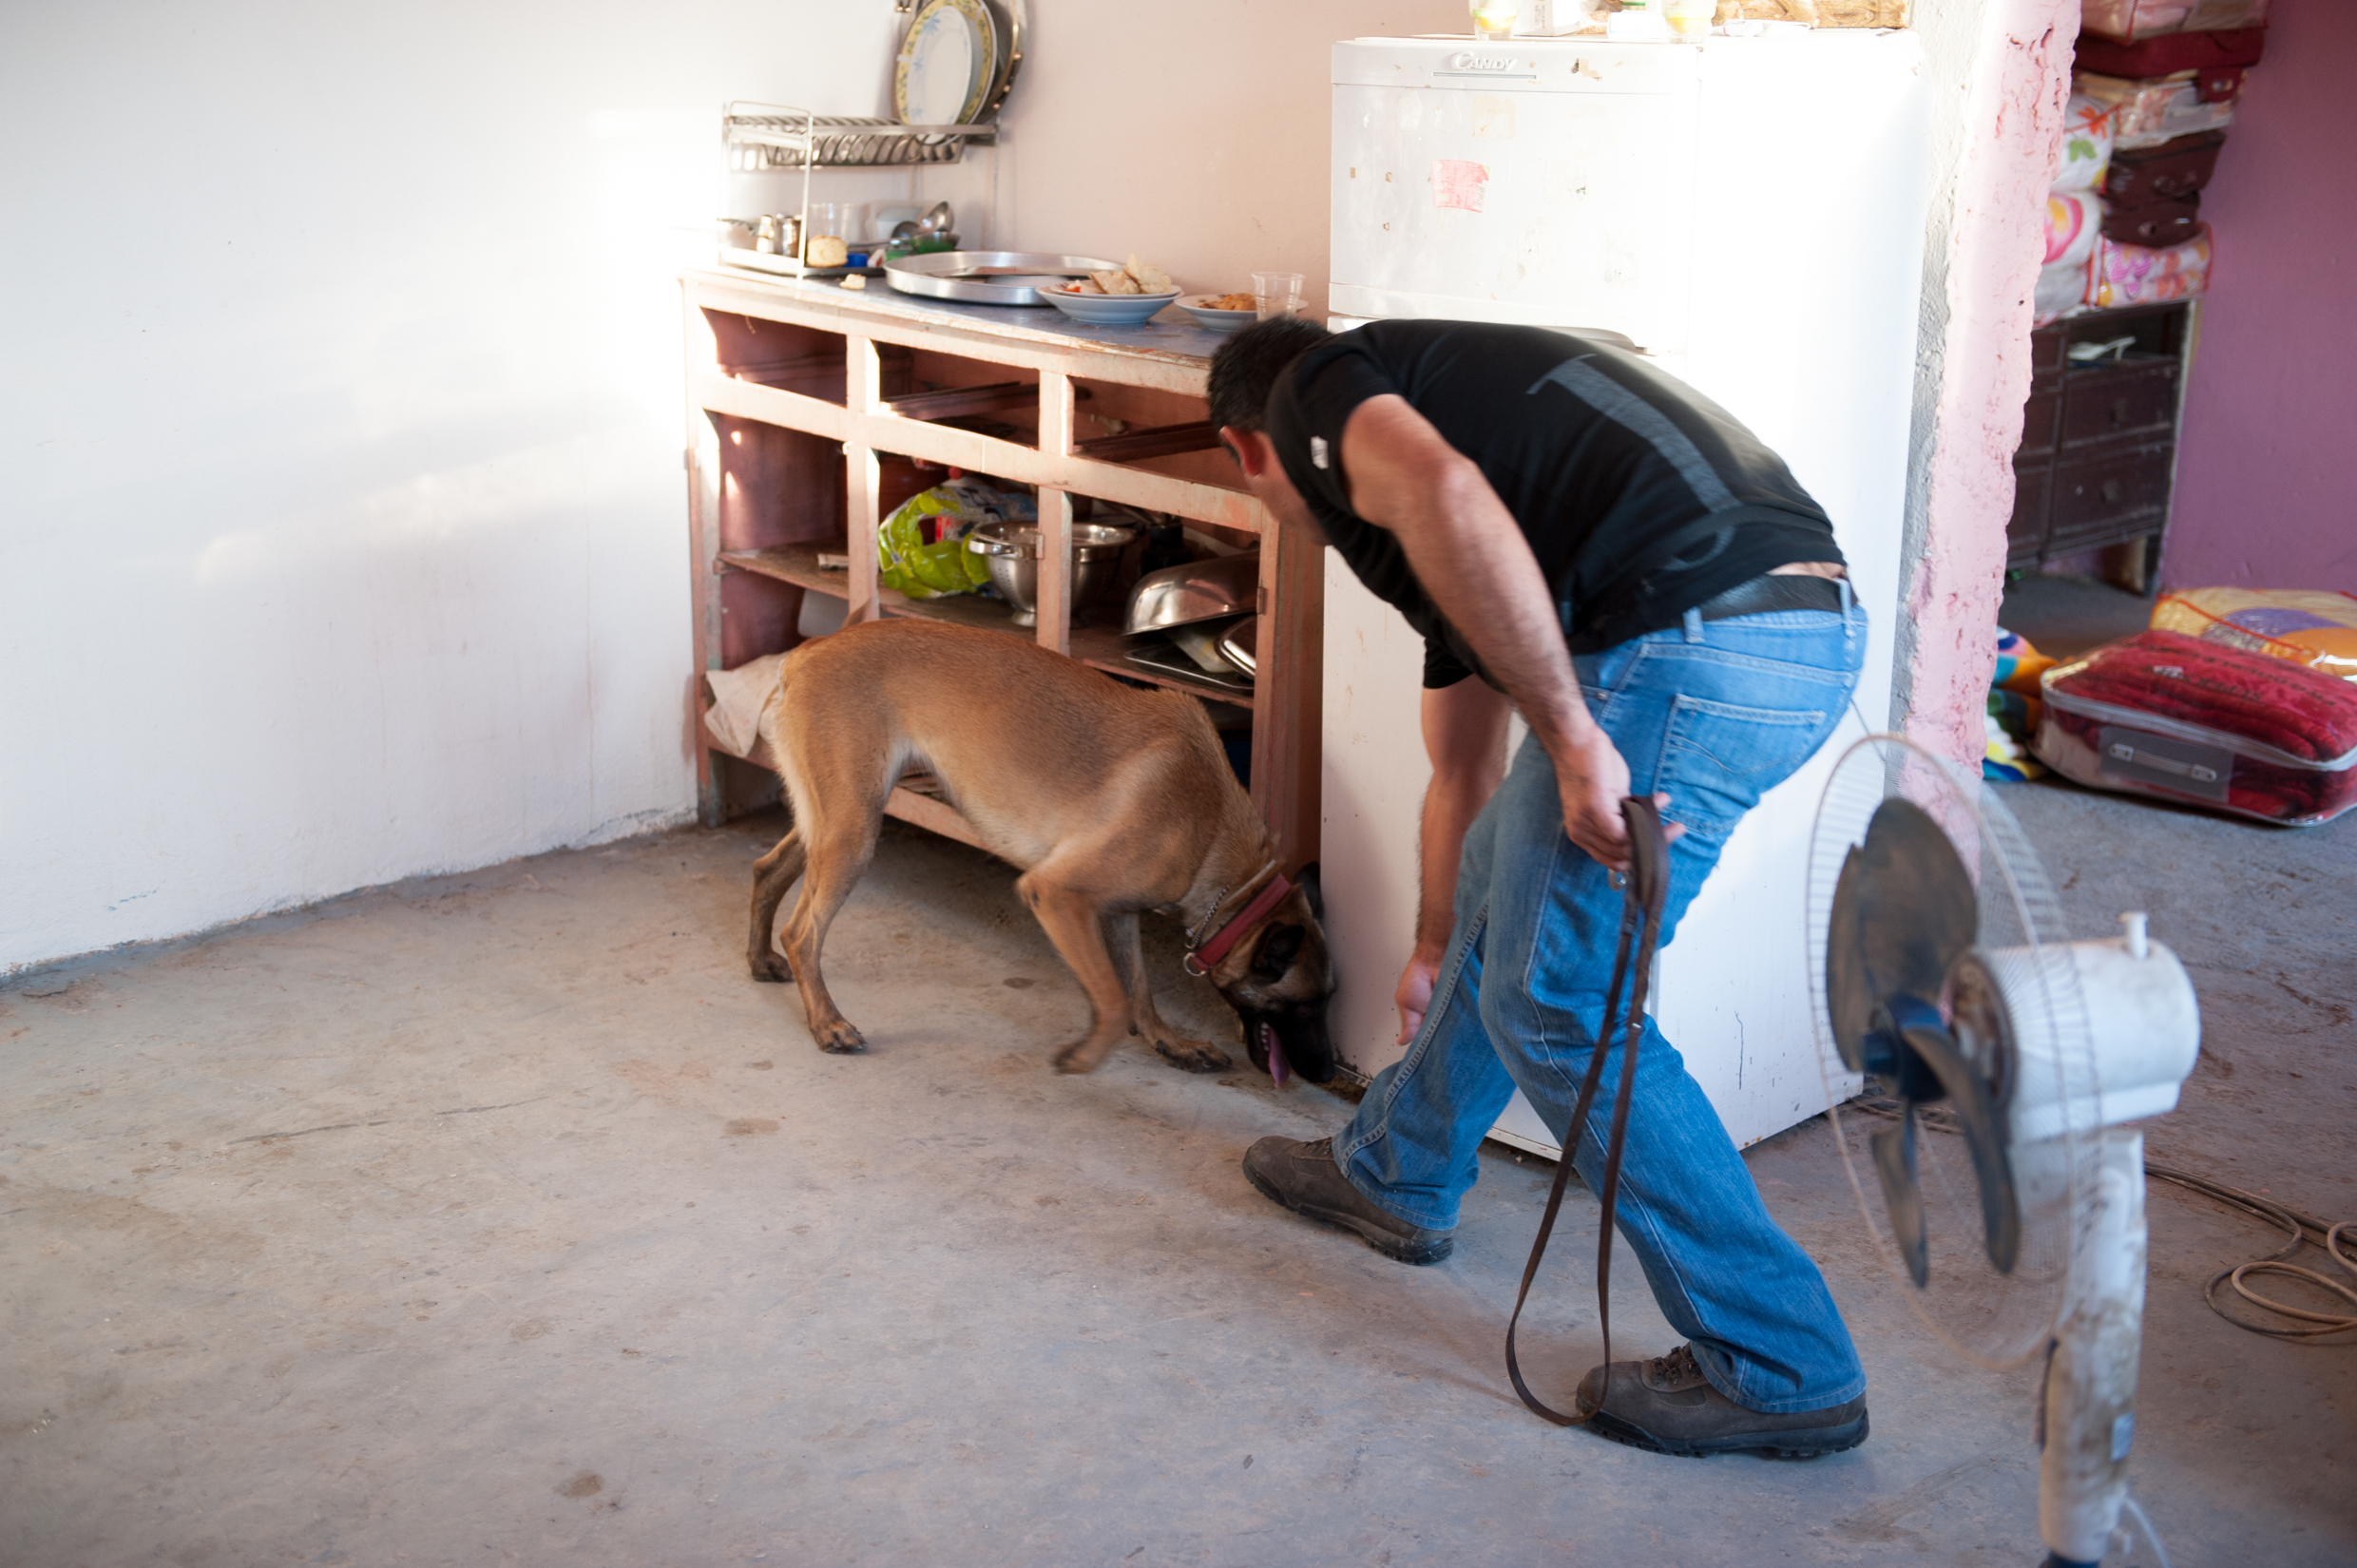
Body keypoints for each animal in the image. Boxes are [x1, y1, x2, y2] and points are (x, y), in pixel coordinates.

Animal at [744, 613, 1338, 1075]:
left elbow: (1138, 988)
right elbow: (1114, 999)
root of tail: (812, 649)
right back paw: (828, 1023)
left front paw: (1170, 1041)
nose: (1331, 1073)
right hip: (854, 830)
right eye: (1304, 1006)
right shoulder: (1057, 895)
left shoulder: (1118, 912)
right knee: (802, 933)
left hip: (836, 819)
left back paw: (760, 961)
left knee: (766, 869)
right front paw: (1086, 1056)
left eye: (1327, 1002)